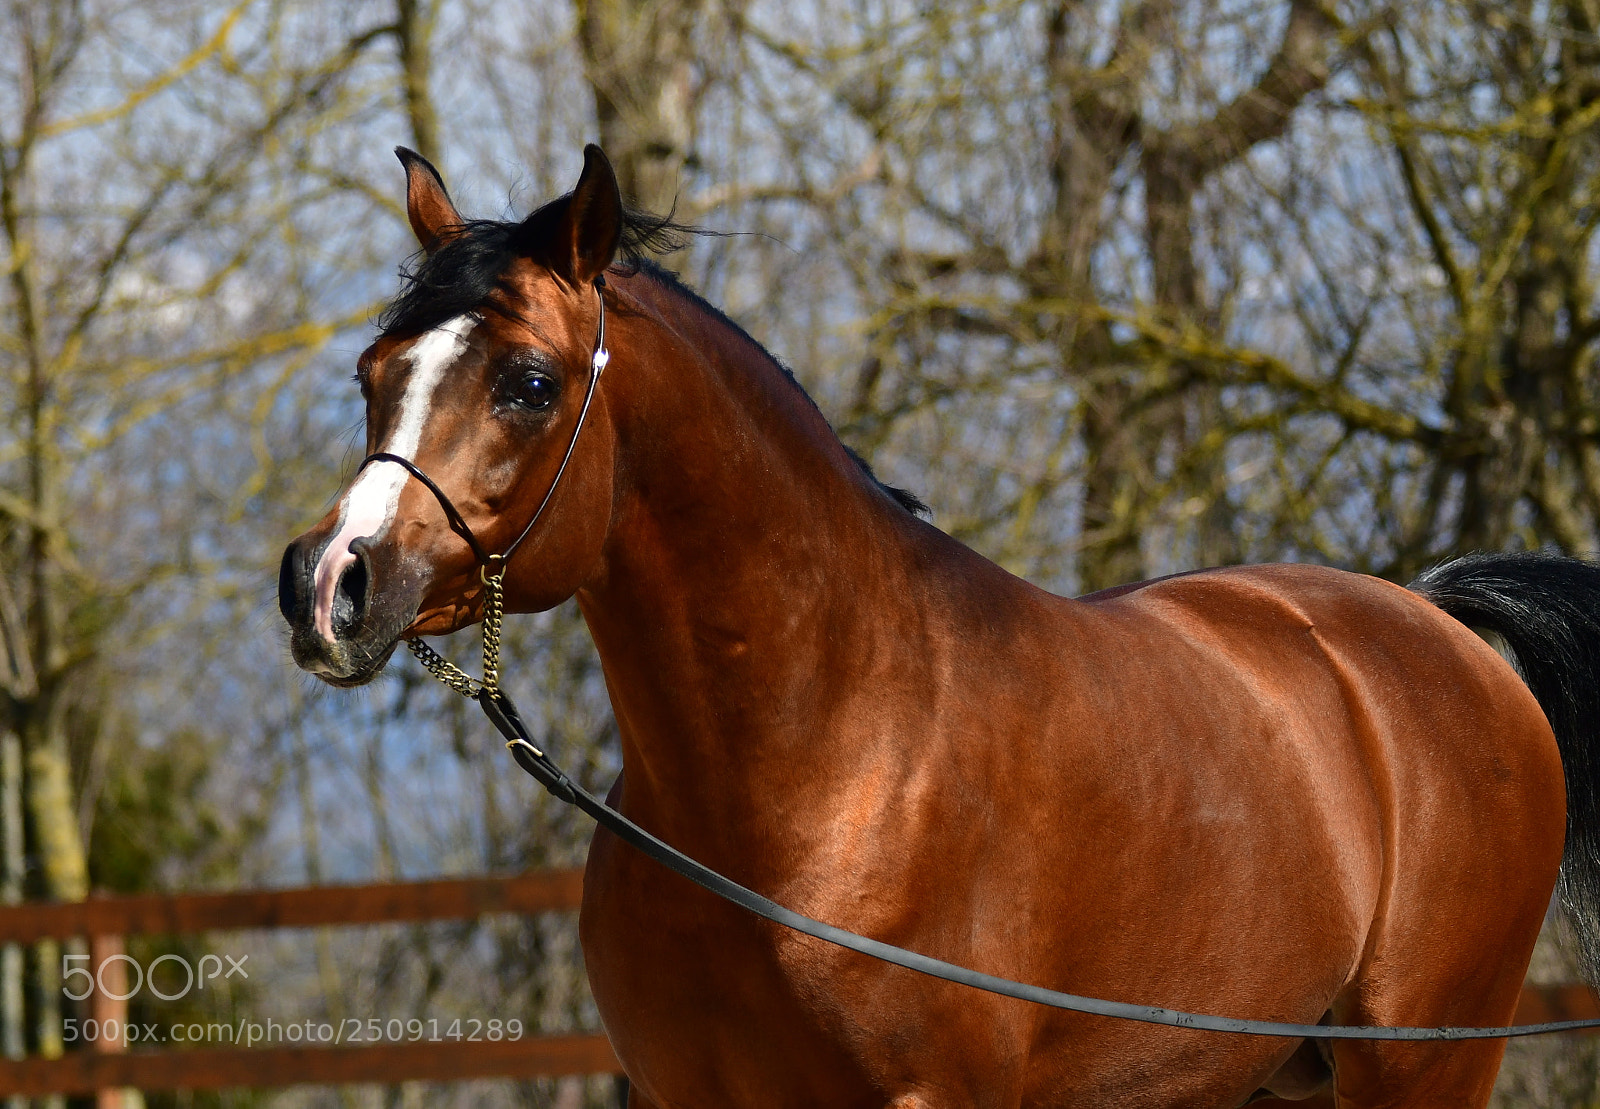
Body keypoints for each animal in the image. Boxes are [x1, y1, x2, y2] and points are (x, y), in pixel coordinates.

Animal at [277, 143, 1600, 1108]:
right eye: (372, 370)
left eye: (529, 382)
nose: (328, 583)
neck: (831, 764)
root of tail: (1430, 623)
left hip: (1420, 1064)